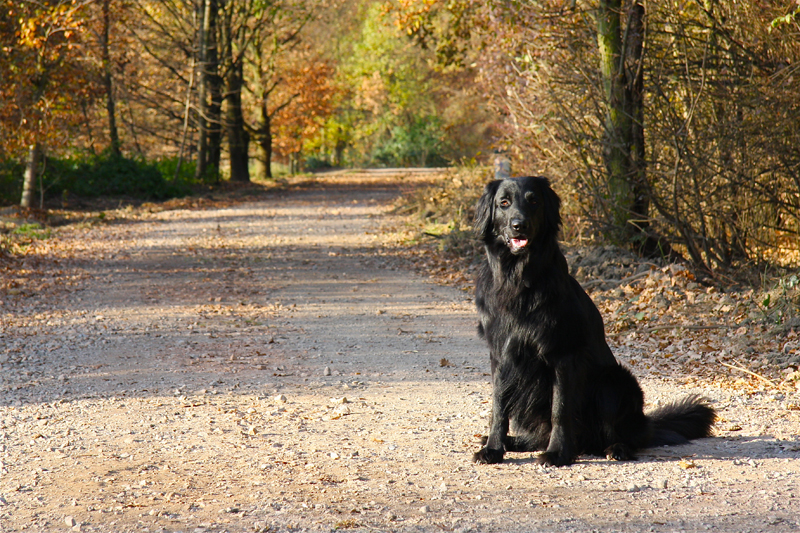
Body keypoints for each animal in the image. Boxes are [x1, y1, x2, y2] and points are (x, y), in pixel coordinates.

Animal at [472, 176, 716, 466]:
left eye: (533, 201)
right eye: (504, 203)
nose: (519, 225)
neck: (519, 279)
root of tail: (646, 424)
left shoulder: (564, 355)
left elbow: (560, 409)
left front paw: (557, 454)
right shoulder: (500, 355)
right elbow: (498, 406)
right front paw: (493, 448)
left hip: (613, 383)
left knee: (625, 438)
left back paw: (616, 448)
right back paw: (514, 441)